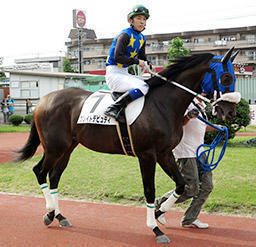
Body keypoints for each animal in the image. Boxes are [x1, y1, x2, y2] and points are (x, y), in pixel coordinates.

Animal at [15, 47, 240, 243]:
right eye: (226, 77)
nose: (230, 112)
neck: (162, 104)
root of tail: (44, 100)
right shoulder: (147, 155)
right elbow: (149, 189)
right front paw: (155, 229)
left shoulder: (165, 153)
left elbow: (181, 184)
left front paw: (159, 213)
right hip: (54, 148)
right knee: (39, 171)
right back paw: (50, 212)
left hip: (68, 148)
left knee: (54, 177)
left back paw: (58, 216)